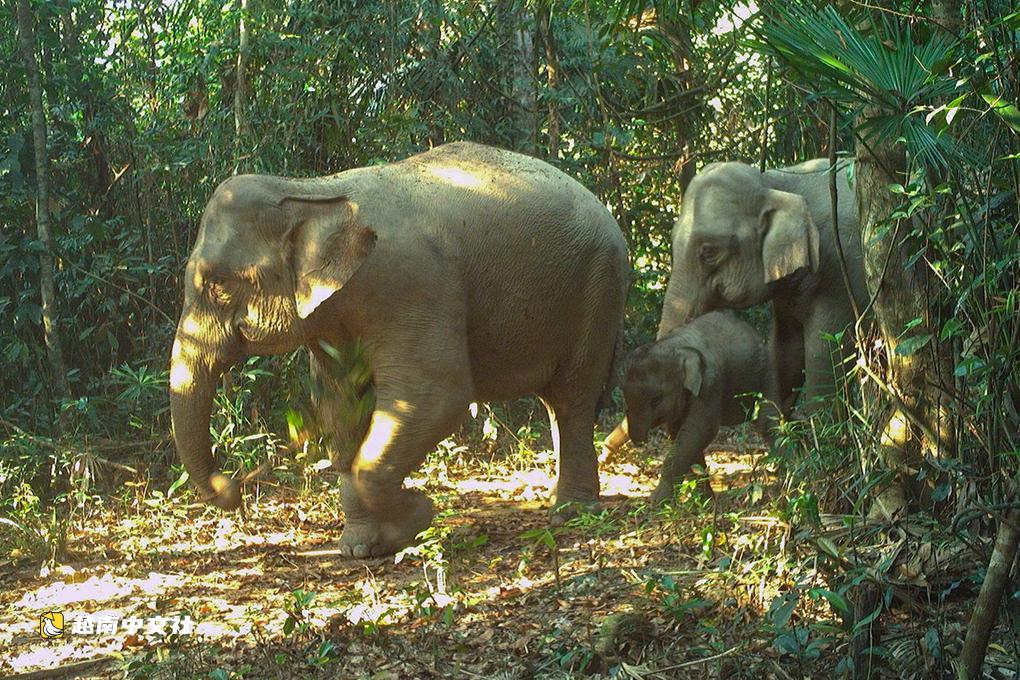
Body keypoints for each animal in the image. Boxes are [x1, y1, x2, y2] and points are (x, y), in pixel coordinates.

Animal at [169, 142, 629, 557]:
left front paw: (417, 516)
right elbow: (340, 410)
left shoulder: (416, 285)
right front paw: (362, 546)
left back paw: (571, 512)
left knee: (573, 397)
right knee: (556, 403)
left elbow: (437, 395)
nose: (232, 487)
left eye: (219, 285)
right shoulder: (334, 321)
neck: (311, 191)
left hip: (600, 283)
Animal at [604, 158, 864, 456]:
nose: (603, 450)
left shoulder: (840, 274)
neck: (778, 183)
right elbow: (786, 351)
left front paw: (823, 451)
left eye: (708, 252)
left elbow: (825, 353)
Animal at [621, 312, 768, 505]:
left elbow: (699, 429)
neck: (677, 346)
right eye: (624, 396)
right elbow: (681, 433)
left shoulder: (710, 384)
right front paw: (704, 500)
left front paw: (656, 501)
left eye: (656, 400)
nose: (640, 442)